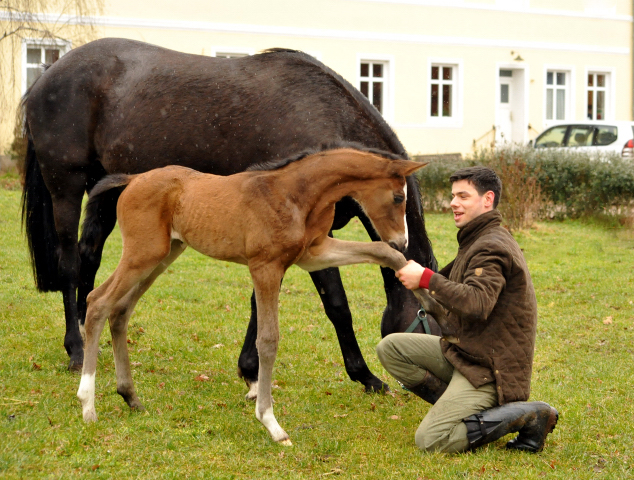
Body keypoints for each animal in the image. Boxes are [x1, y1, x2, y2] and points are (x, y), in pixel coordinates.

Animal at [78, 148, 424, 444]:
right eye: (398, 197)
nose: (402, 241)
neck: (294, 195)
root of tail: (133, 179)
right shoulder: (265, 266)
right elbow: (268, 340)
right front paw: (271, 423)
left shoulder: (313, 253)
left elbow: (380, 252)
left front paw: (418, 282)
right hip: (142, 253)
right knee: (97, 302)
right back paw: (88, 405)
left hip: (163, 255)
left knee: (120, 311)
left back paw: (130, 396)